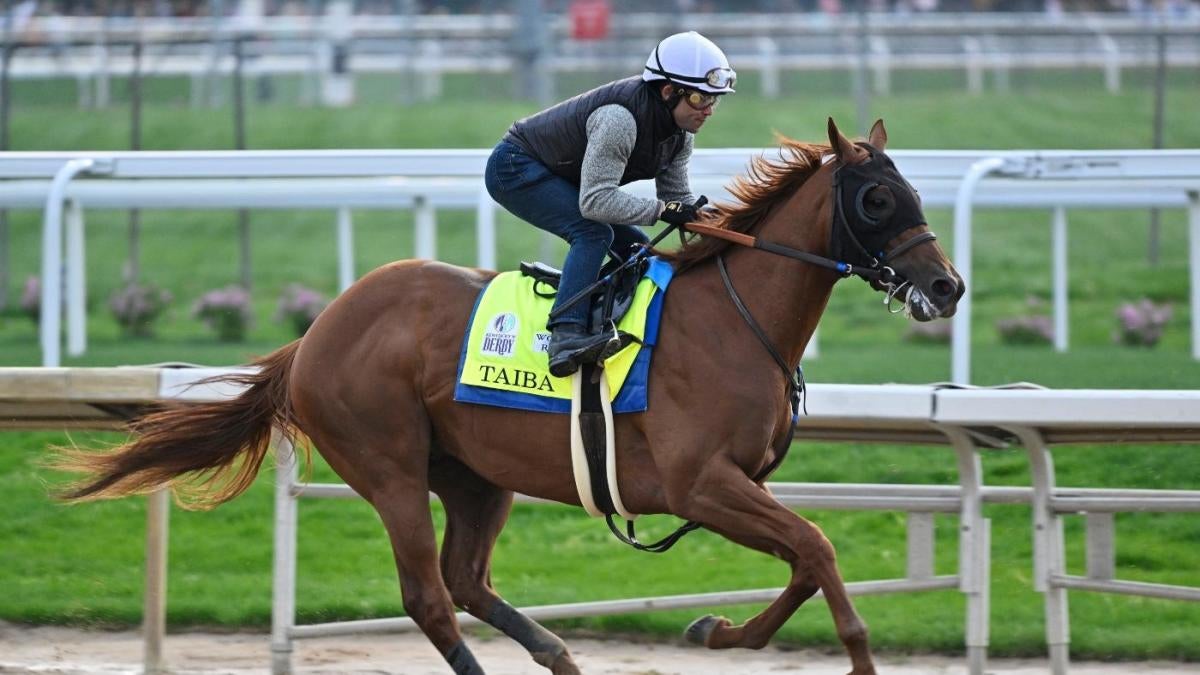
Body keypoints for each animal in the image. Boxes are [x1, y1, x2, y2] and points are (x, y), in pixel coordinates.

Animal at [53, 118, 964, 675]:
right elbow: (819, 548)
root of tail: (314, 334)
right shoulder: (701, 482)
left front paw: (717, 628)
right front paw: (833, 646)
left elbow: (806, 558)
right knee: (429, 595)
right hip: (388, 466)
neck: (732, 320)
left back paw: (558, 652)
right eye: (877, 197)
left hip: (475, 475)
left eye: (915, 190)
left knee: (465, 579)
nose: (947, 286)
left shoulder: (735, 485)